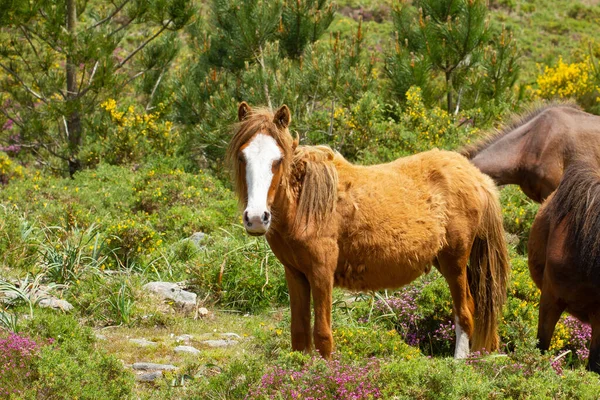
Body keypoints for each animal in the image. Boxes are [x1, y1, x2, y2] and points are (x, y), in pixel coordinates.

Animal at [227, 102, 508, 360]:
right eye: (242, 157)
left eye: (278, 160)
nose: (256, 218)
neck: (304, 203)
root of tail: (476, 177)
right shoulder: (295, 274)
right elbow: (299, 334)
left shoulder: (321, 272)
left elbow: (323, 336)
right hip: (443, 259)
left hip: (454, 261)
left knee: (465, 311)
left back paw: (459, 362)